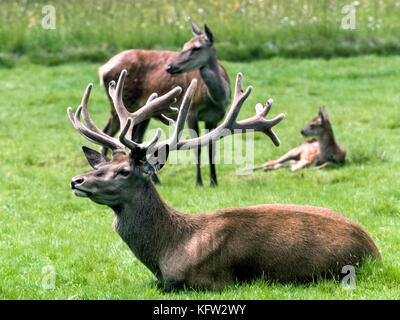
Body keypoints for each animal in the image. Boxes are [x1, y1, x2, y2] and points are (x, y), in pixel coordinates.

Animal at [68, 71, 378, 292]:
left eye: (123, 171)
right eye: (101, 164)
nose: (76, 180)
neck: (167, 250)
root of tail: (375, 251)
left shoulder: (206, 281)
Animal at [97, 22, 233, 186]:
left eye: (197, 47)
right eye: (185, 45)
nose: (169, 67)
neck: (216, 99)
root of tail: (102, 69)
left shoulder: (214, 118)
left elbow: (212, 148)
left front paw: (214, 181)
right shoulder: (191, 112)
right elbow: (197, 148)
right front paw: (199, 182)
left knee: (134, 138)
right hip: (123, 103)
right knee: (108, 132)